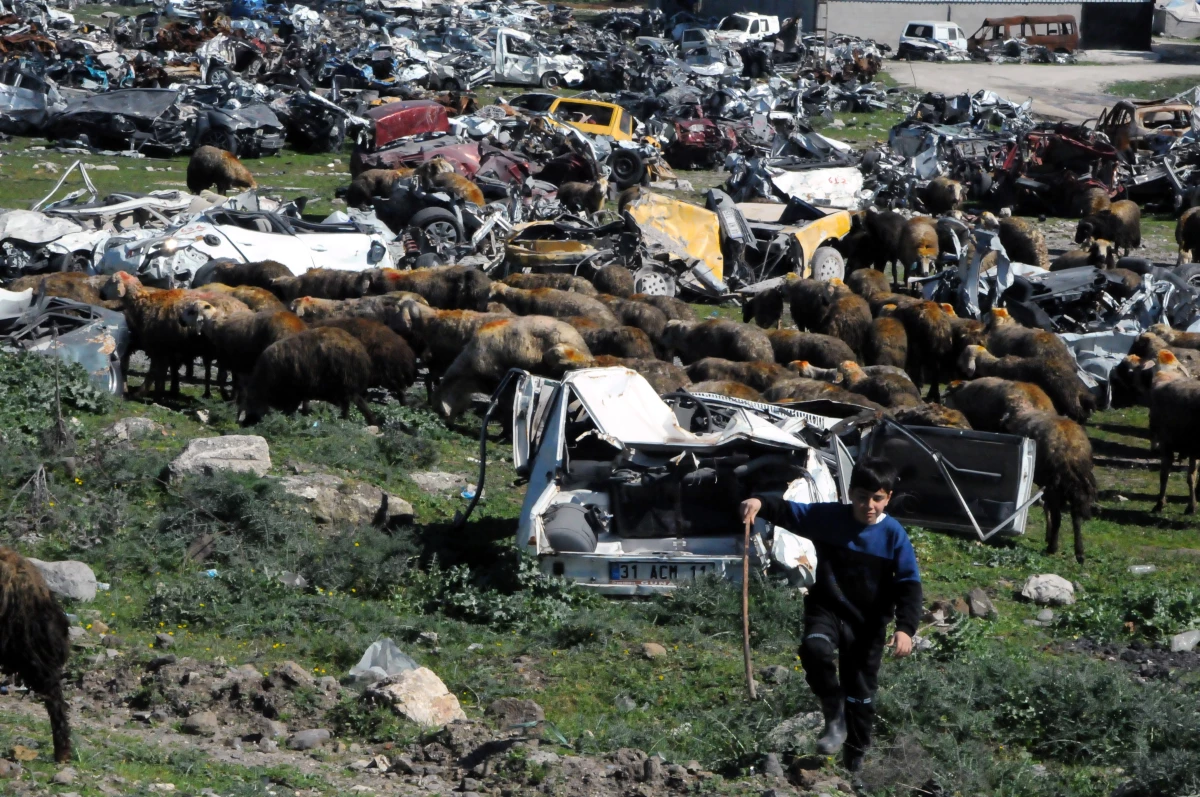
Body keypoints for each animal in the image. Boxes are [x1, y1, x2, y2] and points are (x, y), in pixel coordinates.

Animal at [241, 326, 376, 422]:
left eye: (250, 403)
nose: (246, 423)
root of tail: (361, 352)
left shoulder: (295, 393)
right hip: (346, 387)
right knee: (357, 403)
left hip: (345, 386)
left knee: (350, 405)